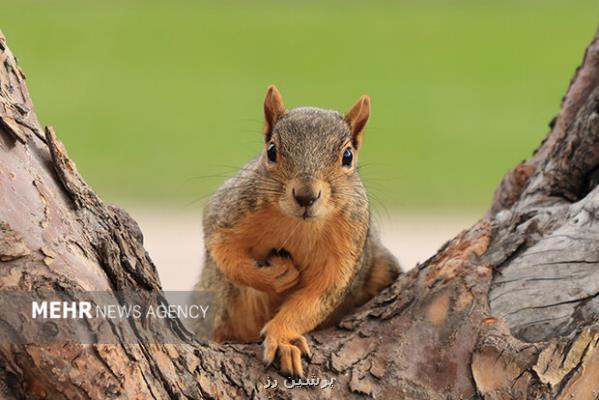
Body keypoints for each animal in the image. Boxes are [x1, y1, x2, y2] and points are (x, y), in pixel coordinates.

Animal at [196, 86, 404, 376]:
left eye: (348, 156)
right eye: (271, 150)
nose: (306, 196)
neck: (299, 225)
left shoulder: (348, 248)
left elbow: (317, 297)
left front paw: (283, 339)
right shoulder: (228, 211)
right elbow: (223, 251)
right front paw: (274, 276)